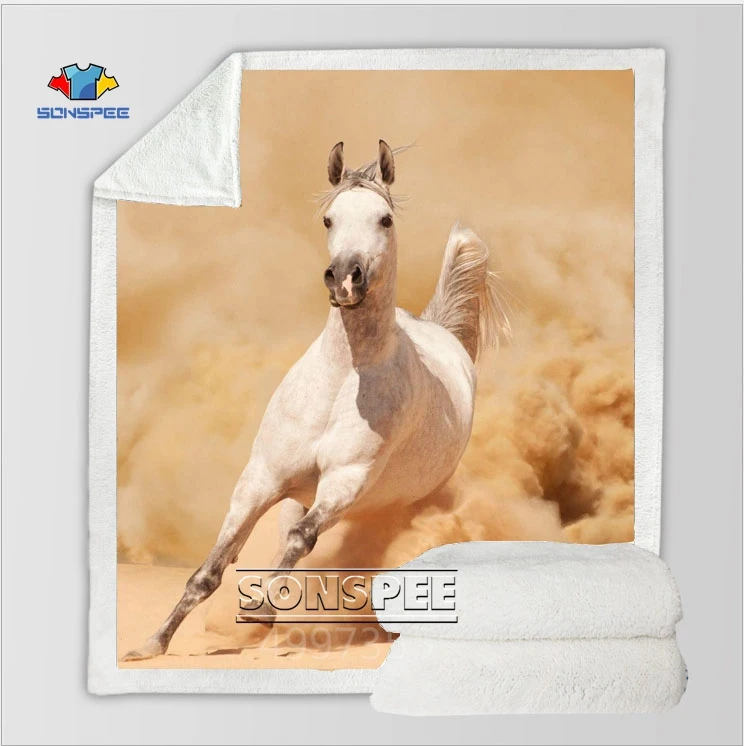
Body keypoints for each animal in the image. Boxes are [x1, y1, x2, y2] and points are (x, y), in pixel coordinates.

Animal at [123, 140, 510, 660]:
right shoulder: (261, 479)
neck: (342, 382)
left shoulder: (344, 482)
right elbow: (211, 569)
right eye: (329, 219)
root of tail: (442, 331)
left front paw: (260, 610)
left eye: (385, 219)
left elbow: (300, 540)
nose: (345, 277)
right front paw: (152, 643)